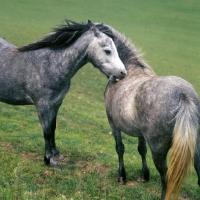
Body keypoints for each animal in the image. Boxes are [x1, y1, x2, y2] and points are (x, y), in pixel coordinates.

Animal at [0, 19, 126, 167]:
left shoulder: (56, 103)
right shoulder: (42, 105)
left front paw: (56, 153)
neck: (51, 65)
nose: (123, 73)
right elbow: (47, 131)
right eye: (107, 51)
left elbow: (53, 127)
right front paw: (49, 160)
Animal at [94, 22, 200, 199]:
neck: (130, 70)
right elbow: (141, 149)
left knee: (165, 176)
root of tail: (183, 96)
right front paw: (145, 176)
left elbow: (120, 148)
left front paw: (122, 176)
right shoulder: (140, 133)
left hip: (158, 149)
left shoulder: (113, 124)